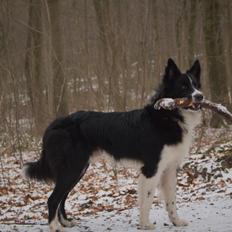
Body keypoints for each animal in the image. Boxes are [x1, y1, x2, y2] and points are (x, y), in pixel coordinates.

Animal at [23, 58, 203, 230]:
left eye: (195, 85)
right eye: (183, 87)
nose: (200, 96)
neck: (167, 115)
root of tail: (53, 125)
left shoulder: (169, 168)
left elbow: (171, 199)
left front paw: (176, 222)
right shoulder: (151, 169)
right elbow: (147, 199)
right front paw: (145, 224)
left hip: (78, 169)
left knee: (62, 197)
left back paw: (65, 223)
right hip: (72, 168)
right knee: (53, 199)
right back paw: (55, 227)